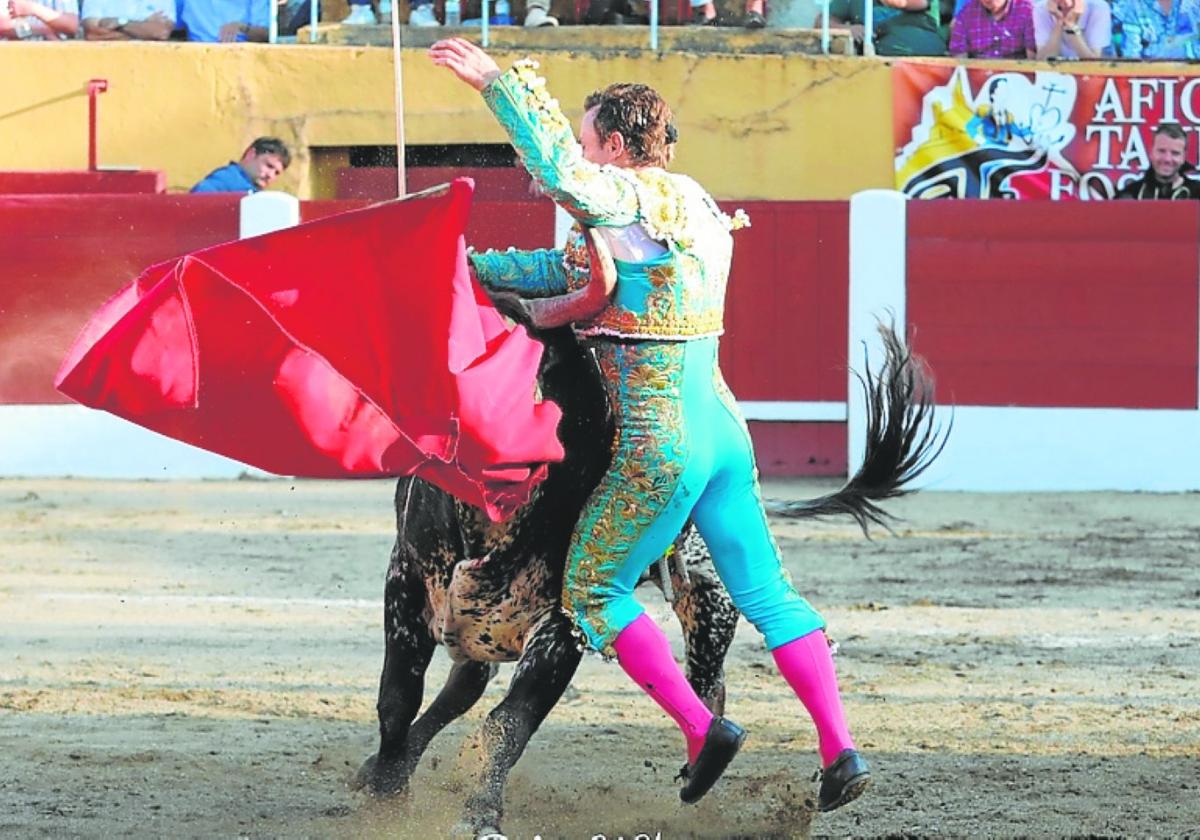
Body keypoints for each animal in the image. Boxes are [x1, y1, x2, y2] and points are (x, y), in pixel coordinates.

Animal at [350, 324, 940, 835]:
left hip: (709, 601)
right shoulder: (404, 581)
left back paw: (702, 768)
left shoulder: (563, 626)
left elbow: (509, 723)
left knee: (709, 683)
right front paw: (387, 789)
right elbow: (398, 697)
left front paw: (478, 814)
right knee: (462, 686)